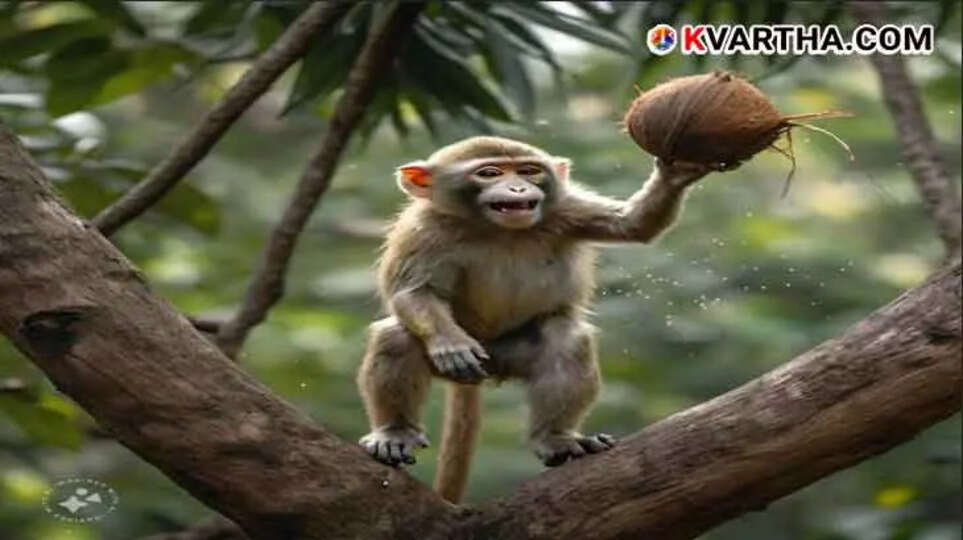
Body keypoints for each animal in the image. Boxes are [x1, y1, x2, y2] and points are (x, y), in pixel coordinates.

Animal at [356, 136, 713, 503]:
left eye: (529, 171)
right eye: (489, 173)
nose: (518, 187)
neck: (494, 229)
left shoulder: (565, 209)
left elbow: (634, 224)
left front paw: (677, 172)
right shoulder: (423, 229)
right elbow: (414, 293)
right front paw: (451, 345)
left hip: (506, 355)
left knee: (566, 338)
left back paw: (556, 439)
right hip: (476, 356)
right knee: (396, 336)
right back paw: (396, 433)